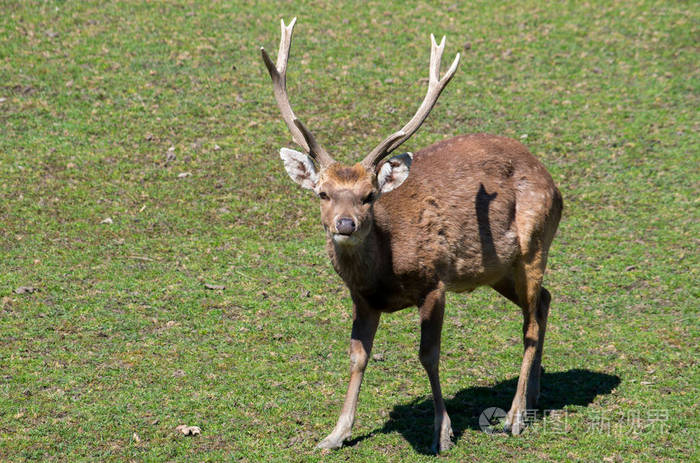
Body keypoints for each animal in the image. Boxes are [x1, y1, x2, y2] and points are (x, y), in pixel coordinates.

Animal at [261, 18, 563, 453]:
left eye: (370, 195)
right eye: (322, 193)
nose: (345, 224)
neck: (385, 270)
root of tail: (554, 184)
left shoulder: (435, 281)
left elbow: (428, 355)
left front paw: (443, 433)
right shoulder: (362, 299)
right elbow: (357, 356)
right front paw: (334, 434)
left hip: (535, 245)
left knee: (531, 325)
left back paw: (516, 416)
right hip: (499, 270)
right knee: (542, 303)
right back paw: (535, 396)